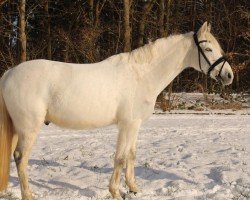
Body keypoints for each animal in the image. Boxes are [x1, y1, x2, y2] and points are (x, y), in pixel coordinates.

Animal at [0, 22, 233, 200]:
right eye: (208, 49)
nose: (229, 76)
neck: (141, 75)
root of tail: (10, 73)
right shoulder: (126, 124)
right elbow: (120, 157)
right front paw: (115, 192)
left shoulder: (135, 125)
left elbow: (131, 154)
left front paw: (134, 188)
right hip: (29, 128)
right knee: (20, 157)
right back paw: (28, 195)